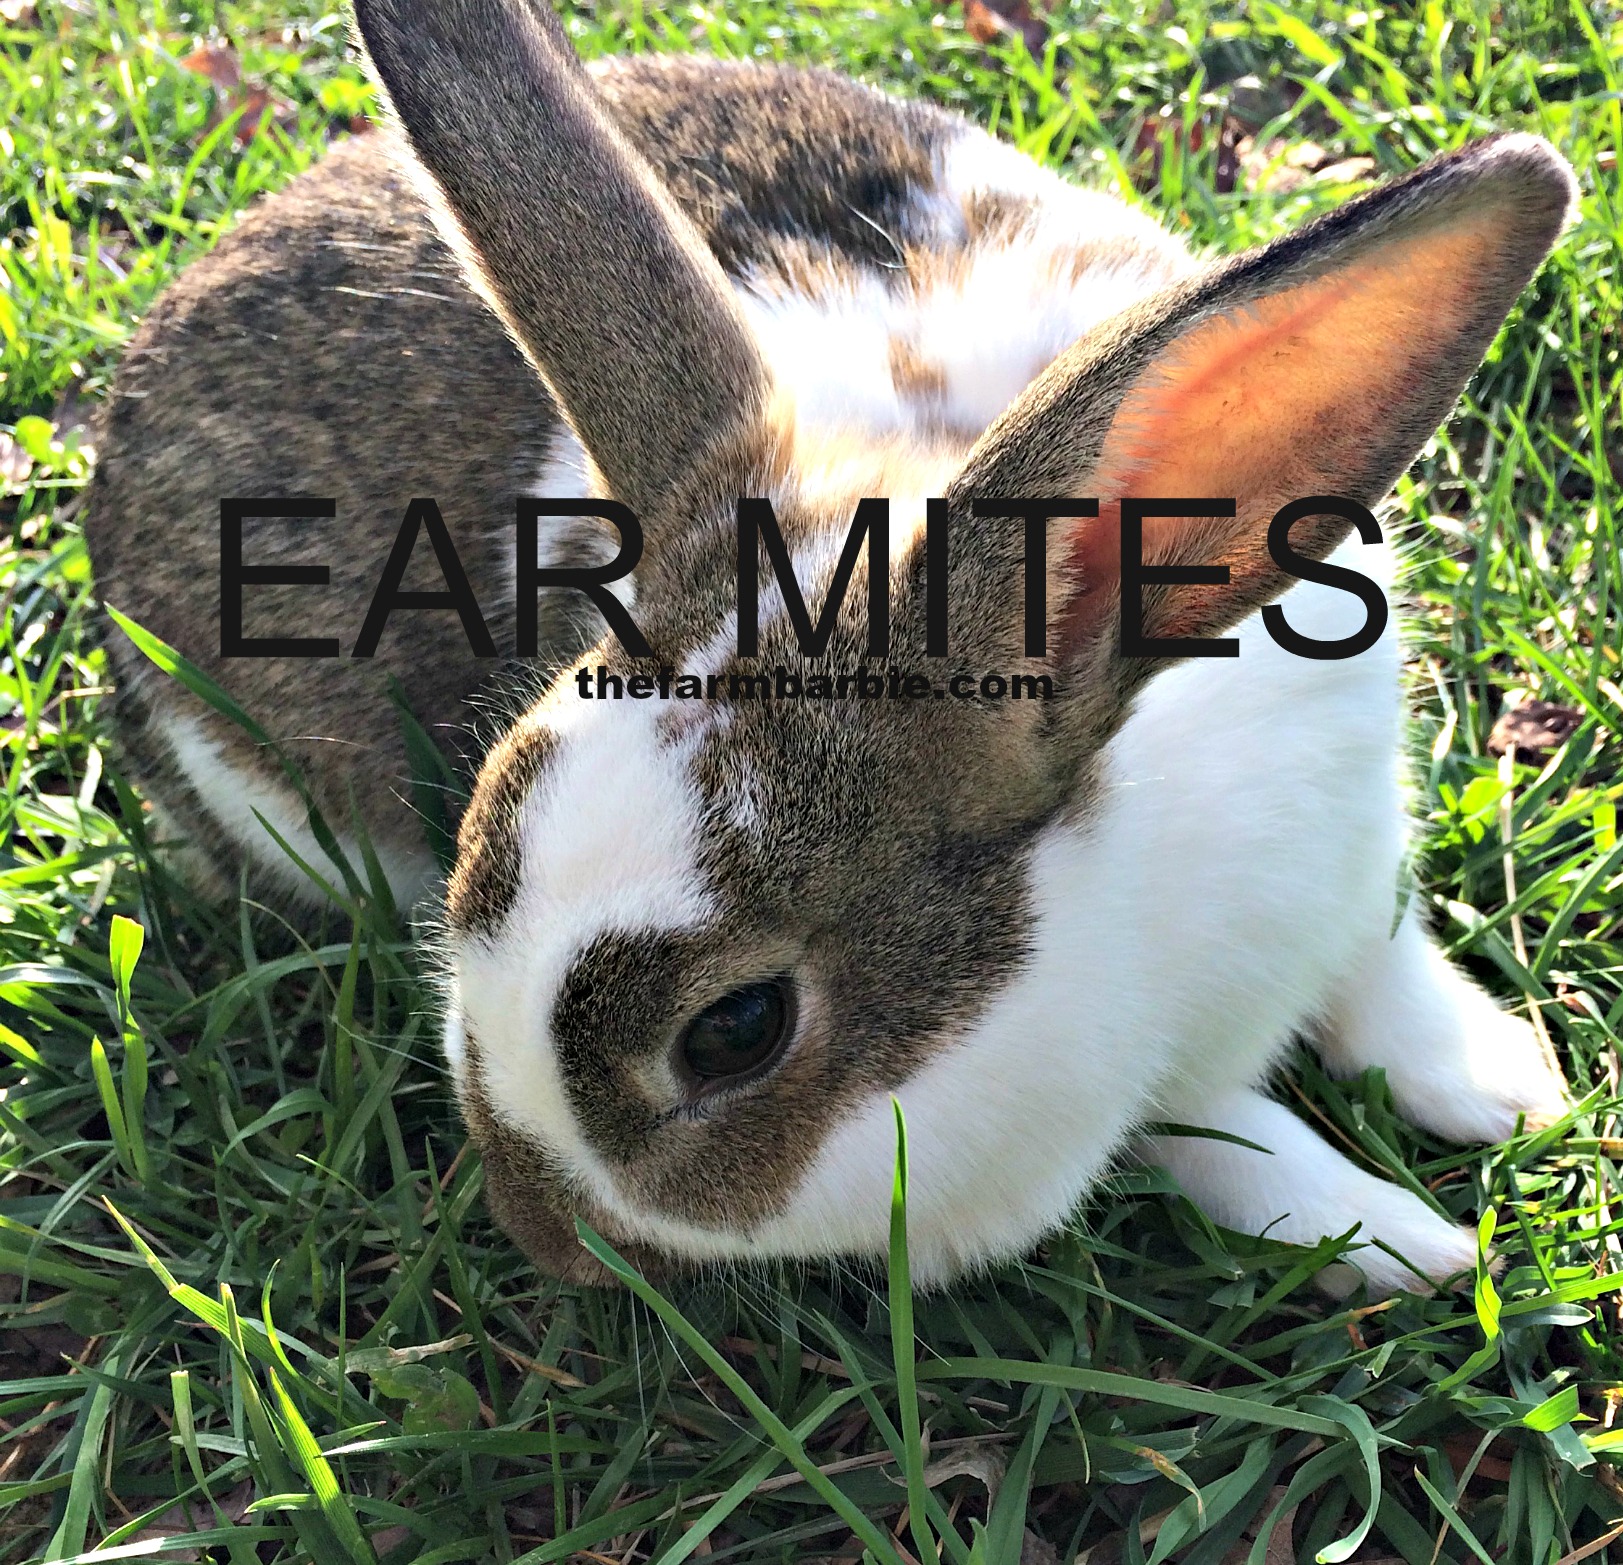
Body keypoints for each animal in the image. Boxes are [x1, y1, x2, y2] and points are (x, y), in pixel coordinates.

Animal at [84, 0, 1579, 1295]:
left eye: (734, 1032)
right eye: (466, 867)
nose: (540, 1233)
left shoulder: (1353, 840)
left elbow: (1384, 964)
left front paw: (1502, 1088)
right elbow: (1224, 1140)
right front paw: (1401, 1239)